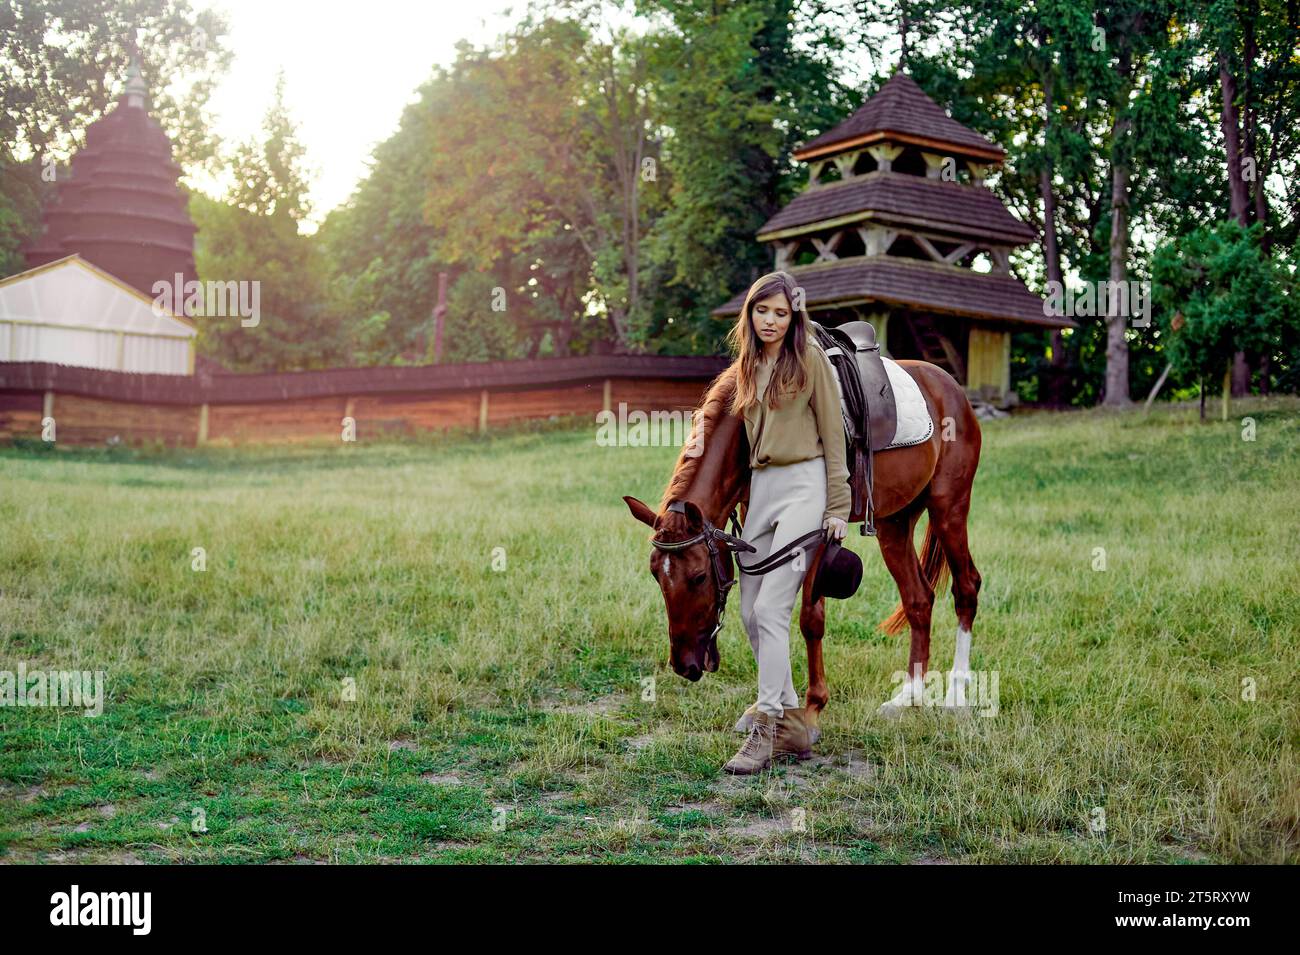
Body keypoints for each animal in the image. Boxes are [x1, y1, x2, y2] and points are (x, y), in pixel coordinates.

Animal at [624, 356, 977, 738]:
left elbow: (811, 620)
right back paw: (908, 696)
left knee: (966, 588)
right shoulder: (755, 520)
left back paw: (956, 693)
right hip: (894, 524)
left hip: (949, 509)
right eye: (656, 575)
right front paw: (766, 707)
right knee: (918, 600)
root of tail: (950, 387)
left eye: (699, 577)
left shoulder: (817, 530)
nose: (684, 665)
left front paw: (810, 709)